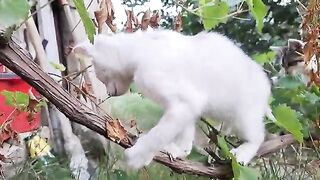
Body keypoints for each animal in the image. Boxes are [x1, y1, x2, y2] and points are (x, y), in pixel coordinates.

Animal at [74, 29, 272, 169]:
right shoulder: (185, 108)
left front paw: (136, 156)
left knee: (258, 136)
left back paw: (243, 152)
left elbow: (158, 134)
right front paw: (176, 151)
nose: (110, 93)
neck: (141, 49)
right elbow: (183, 137)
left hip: (244, 114)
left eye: (101, 74)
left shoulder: (185, 101)